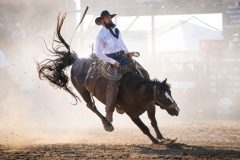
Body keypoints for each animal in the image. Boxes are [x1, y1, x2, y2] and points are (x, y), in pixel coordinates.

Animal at [37, 13, 179, 144]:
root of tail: (77, 60)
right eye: (163, 97)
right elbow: (144, 128)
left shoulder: (151, 105)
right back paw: (107, 124)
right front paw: (155, 141)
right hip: (83, 91)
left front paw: (162, 138)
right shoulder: (131, 112)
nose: (177, 110)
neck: (136, 89)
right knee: (91, 106)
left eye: (170, 93)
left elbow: (154, 122)